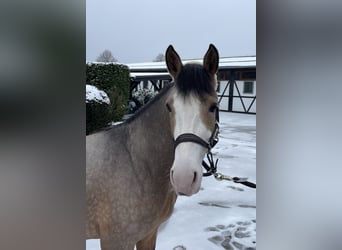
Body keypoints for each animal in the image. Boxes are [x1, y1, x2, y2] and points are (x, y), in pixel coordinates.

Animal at [85, 44, 219, 249]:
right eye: (169, 107)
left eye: (213, 107)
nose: (184, 178)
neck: (137, 163)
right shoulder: (116, 240)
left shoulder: (148, 234)